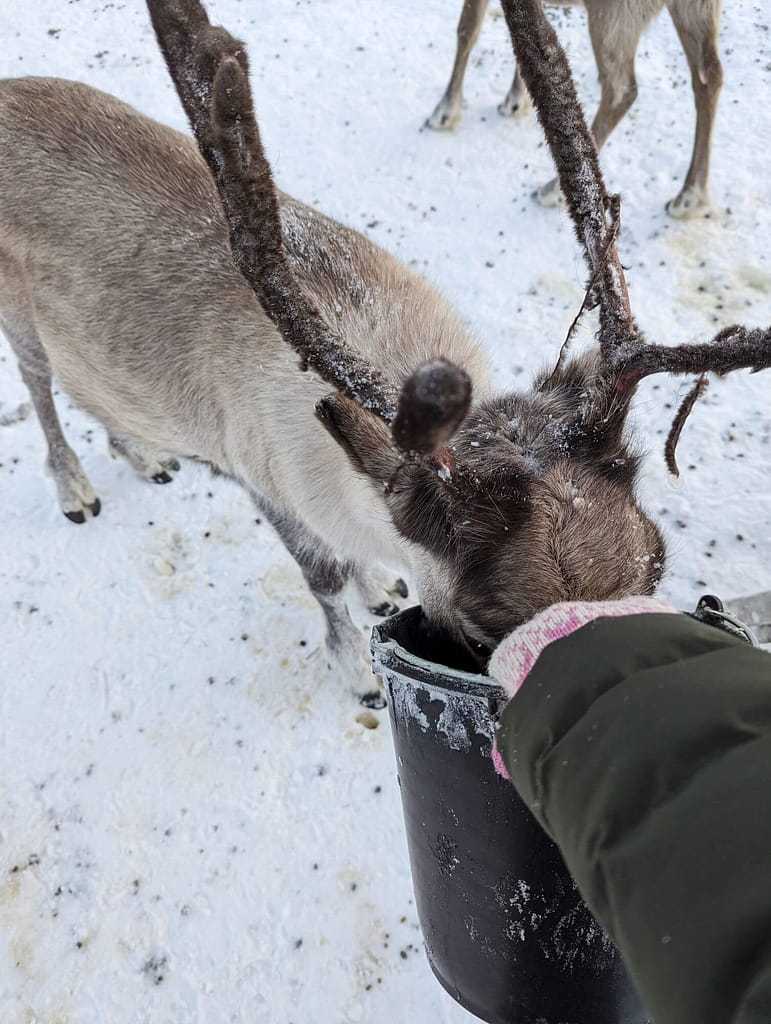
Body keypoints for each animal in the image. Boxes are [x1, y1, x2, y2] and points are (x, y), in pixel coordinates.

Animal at [426, 0, 723, 219]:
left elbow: (468, 28)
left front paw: (444, 111)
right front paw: (516, 99)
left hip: (617, 13)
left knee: (621, 90)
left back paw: (555, 188)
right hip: (695, 8)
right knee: (709, 76)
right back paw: (689, 196)